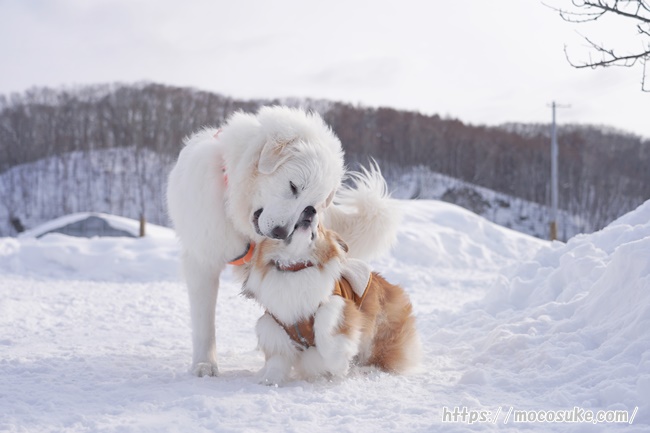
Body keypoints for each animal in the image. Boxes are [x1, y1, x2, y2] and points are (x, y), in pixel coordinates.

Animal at [166, 106, 400, 376]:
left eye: (313, 202)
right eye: (293, 186)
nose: (280, 232)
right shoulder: (202, 261)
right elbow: (205, 321)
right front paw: (205, 364)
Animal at [243, 221, 420, 384]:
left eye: (319, 226)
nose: (309, 214)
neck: (296, 268)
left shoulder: (337, 307)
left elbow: (326, 330)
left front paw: (339, 366)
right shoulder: (273, 323)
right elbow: (277, 358)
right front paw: (270, 380)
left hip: (380, 335)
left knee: (383, 359)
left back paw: (364, 369)